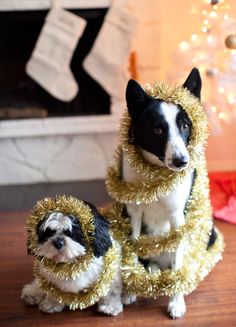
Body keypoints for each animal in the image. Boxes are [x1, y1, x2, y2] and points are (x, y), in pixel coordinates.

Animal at [122, 68, 217, 320]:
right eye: (157, 129)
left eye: (185, 126)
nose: (181, 161)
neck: (154, 174)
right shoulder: (133, 213)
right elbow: (133, 248)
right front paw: (130, 289)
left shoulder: (176, 217)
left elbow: (177, 261)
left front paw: (176, 302)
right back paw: (153, 269)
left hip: (210, 233)